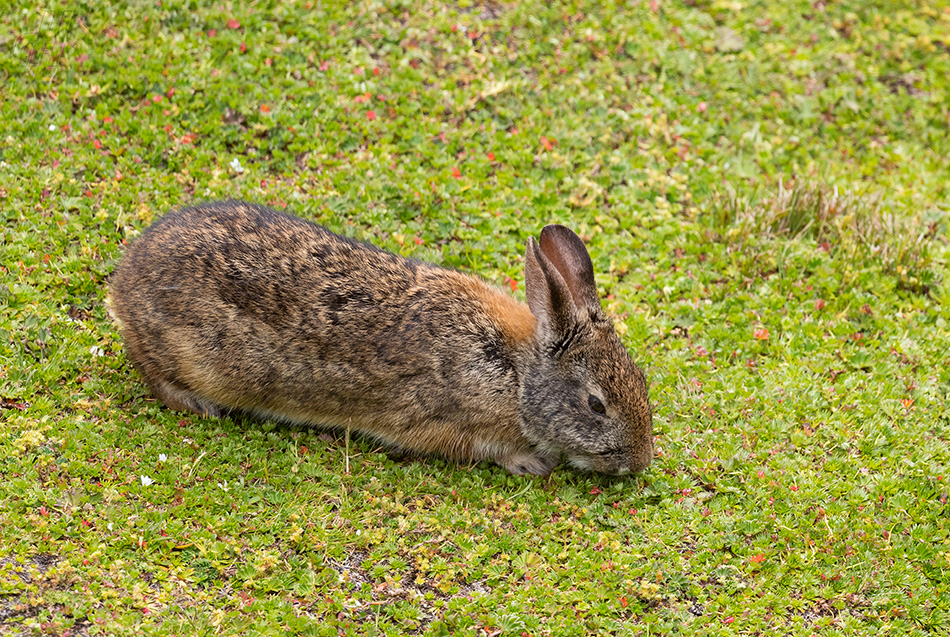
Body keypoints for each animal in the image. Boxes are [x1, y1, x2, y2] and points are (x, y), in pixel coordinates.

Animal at [108, 201, 652, 474]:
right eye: (597, 405)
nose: (639, 462)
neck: (516, 373)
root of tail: (125, 279)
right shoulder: (444, 421)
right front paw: (531, 463)